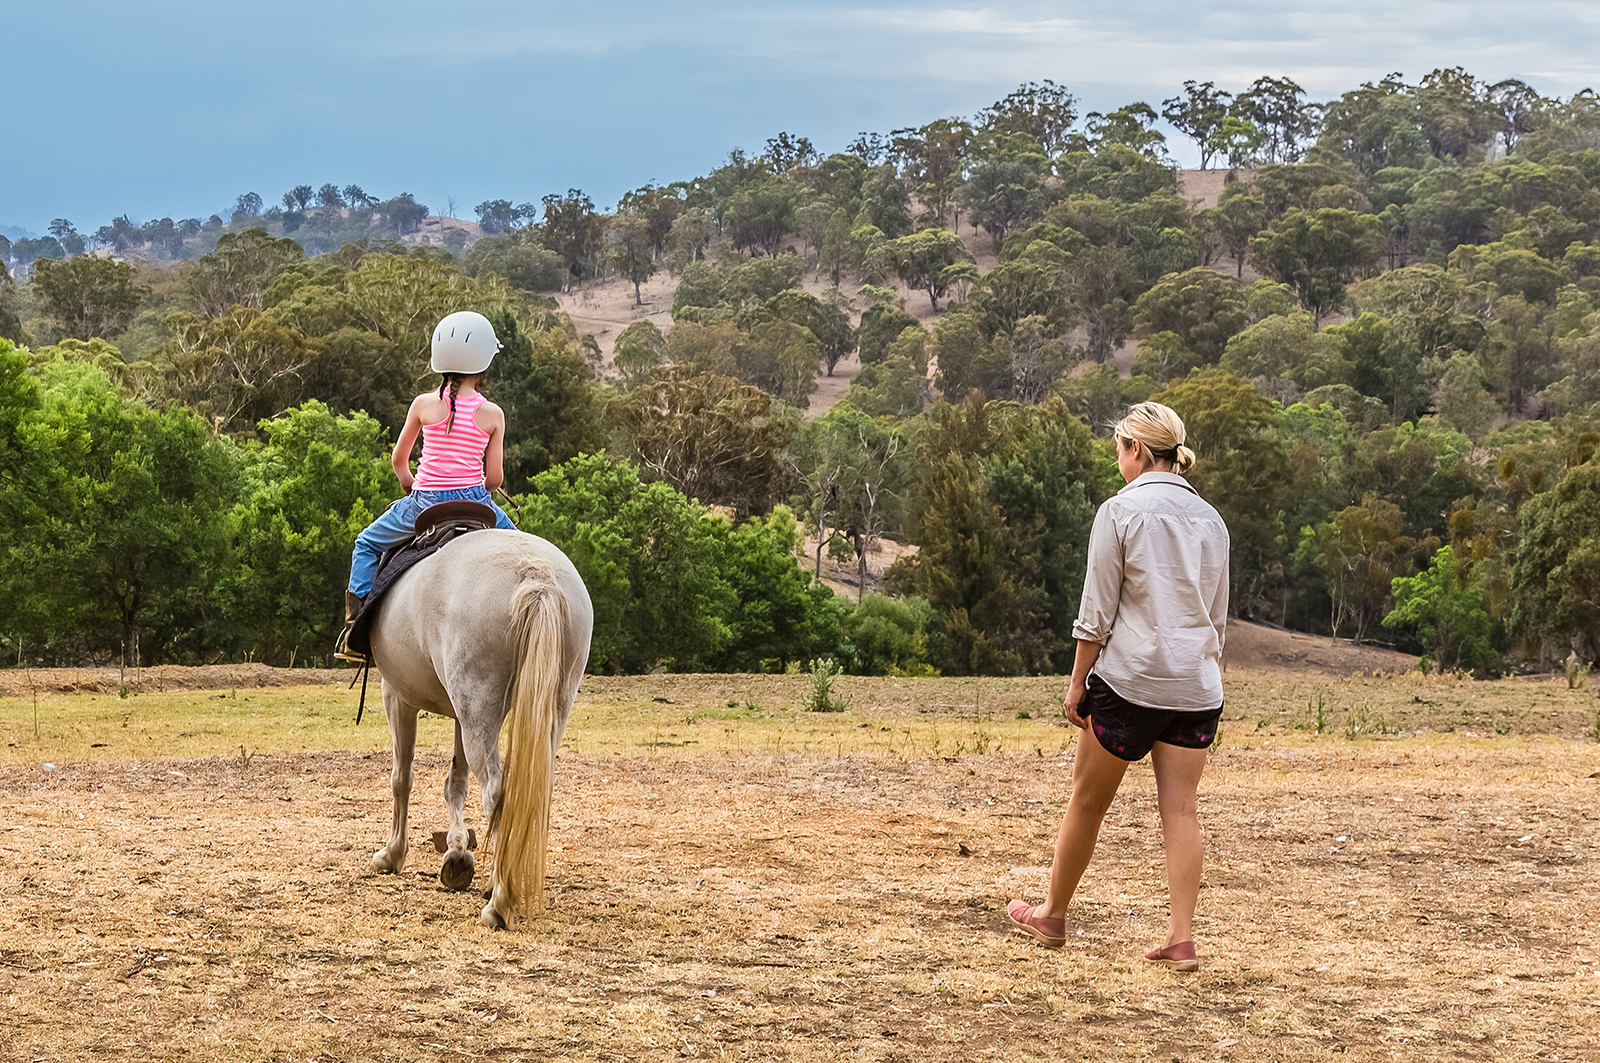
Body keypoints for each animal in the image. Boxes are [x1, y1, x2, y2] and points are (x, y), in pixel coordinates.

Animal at [363, 531, 595, 928]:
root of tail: (536, 574)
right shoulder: (461, 714)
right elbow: (455, 782)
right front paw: (456, 853)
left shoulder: (397, 695)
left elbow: (401, 779)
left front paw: (393, 853)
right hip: (548, 706)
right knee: (534, 791)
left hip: (476, 709)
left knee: (497, 794)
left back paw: (499, 901)